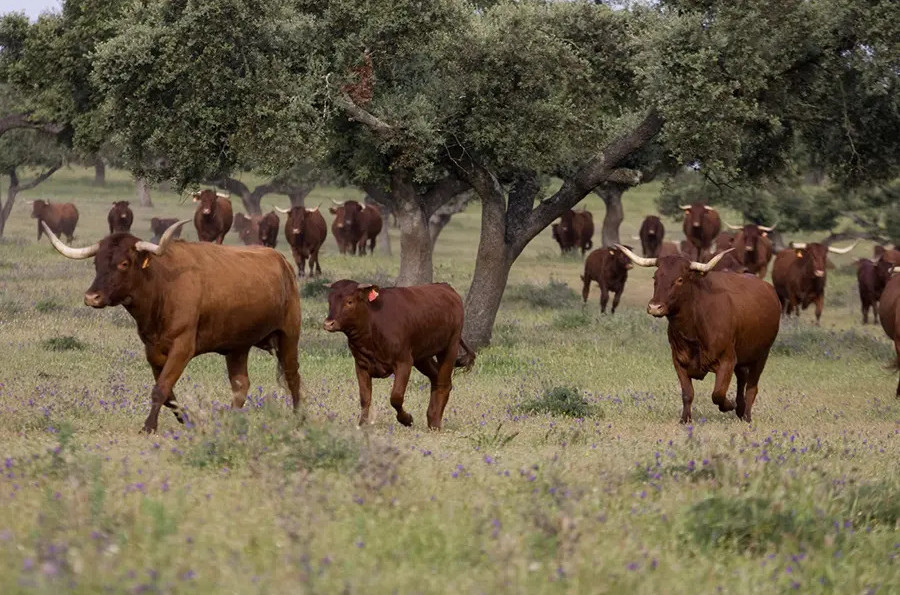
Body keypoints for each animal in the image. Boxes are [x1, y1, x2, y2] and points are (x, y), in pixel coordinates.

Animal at [40, 220, 303, 433]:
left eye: (124, 263)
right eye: (96, 263)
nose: (91, 297)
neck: (162, 287)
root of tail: (282, 262)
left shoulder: (182, 347)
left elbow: (161, 388)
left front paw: (148, 427)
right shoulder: (152, 350)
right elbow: (167, 393)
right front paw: (187, 420)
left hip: (289, 335)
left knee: (292, 376)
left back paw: (299, 417)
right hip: (238, 346)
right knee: (241, 385)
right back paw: (230, 420)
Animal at [323, 280, 476, 430]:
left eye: (349, 301)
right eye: (329, 301)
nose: (328, 323)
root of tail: (446, 287)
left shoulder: (404, 362)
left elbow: (396, 397)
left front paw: (407, 419)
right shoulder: (361, 365)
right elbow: (365, 398)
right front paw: (362, 424)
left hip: (450, 346)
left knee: (444, 382)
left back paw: (435, 424)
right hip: (422, 356)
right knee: (436, 377)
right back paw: (432, 418)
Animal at [617, 245, 780, 423]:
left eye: (680, 279)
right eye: (655, 277)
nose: (655, 307)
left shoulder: (727, 360)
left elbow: (718, 394)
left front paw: (729, 405)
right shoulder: (679, 360)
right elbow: (687, 393)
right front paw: (685, 419)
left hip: (761, 356)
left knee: (751, 387)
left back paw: (746, 416)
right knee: (742, 378)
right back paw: (740, 409)